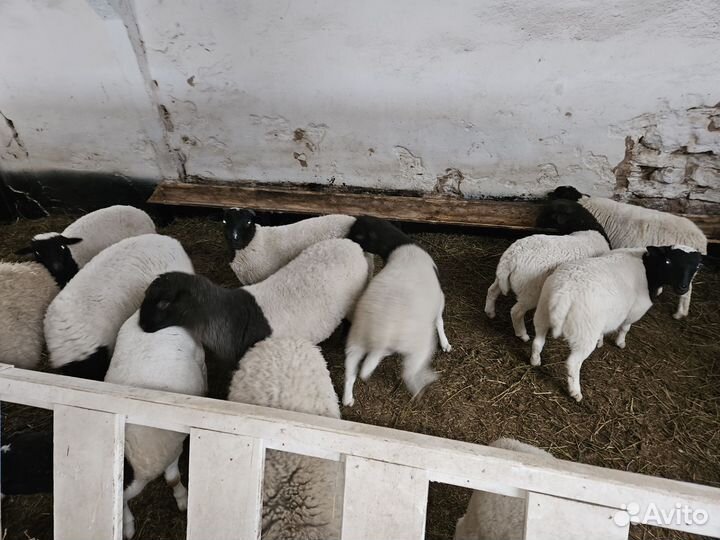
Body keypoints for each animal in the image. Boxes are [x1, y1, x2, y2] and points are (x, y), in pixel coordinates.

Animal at [342, 216, 451, 406]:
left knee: (351, 373)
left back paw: (348, 399)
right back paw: (423, 386)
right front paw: (445, 343)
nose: (344, 239)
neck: (399, 243)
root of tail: (380, 335)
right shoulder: (439, 298)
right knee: (409, 373)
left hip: (356, 341)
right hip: (419, 346)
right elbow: (439, 320)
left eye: (356, 234)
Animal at [485, 199, 611, 341]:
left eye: (547, 215)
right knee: (516, 312)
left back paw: (490, 312)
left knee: (492, 290)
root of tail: (511, 259)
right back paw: (523, 335)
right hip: (530, 291)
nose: (535, 224)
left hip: (502, 278)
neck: (585, 226)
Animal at [531, 245, 702, 401]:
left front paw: (601, 341)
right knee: (572, 363)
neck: (649, 268)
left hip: (542, 313)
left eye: (696, 267)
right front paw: (620, 343)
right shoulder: (634, 311)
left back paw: (535, 361)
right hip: (584, 333)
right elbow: (625, 328)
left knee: (537, 341)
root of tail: (563, 295)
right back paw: (575, 392)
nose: (683, 288)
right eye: (668, 261)